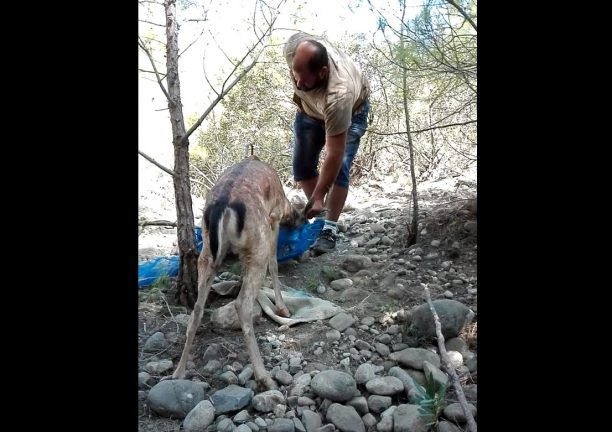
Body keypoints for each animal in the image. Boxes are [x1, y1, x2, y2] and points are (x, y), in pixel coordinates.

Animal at [172, 156, 310, 392]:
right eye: (301, 215)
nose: (304, 222)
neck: (284, 203)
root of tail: (223, 208)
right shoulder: (273, 218)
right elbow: (274, 263)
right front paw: (283, 309)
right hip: (257, 243)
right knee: (242, 303)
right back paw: (264, 377)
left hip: (207, 253)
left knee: (197, 308)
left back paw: (178, 372)